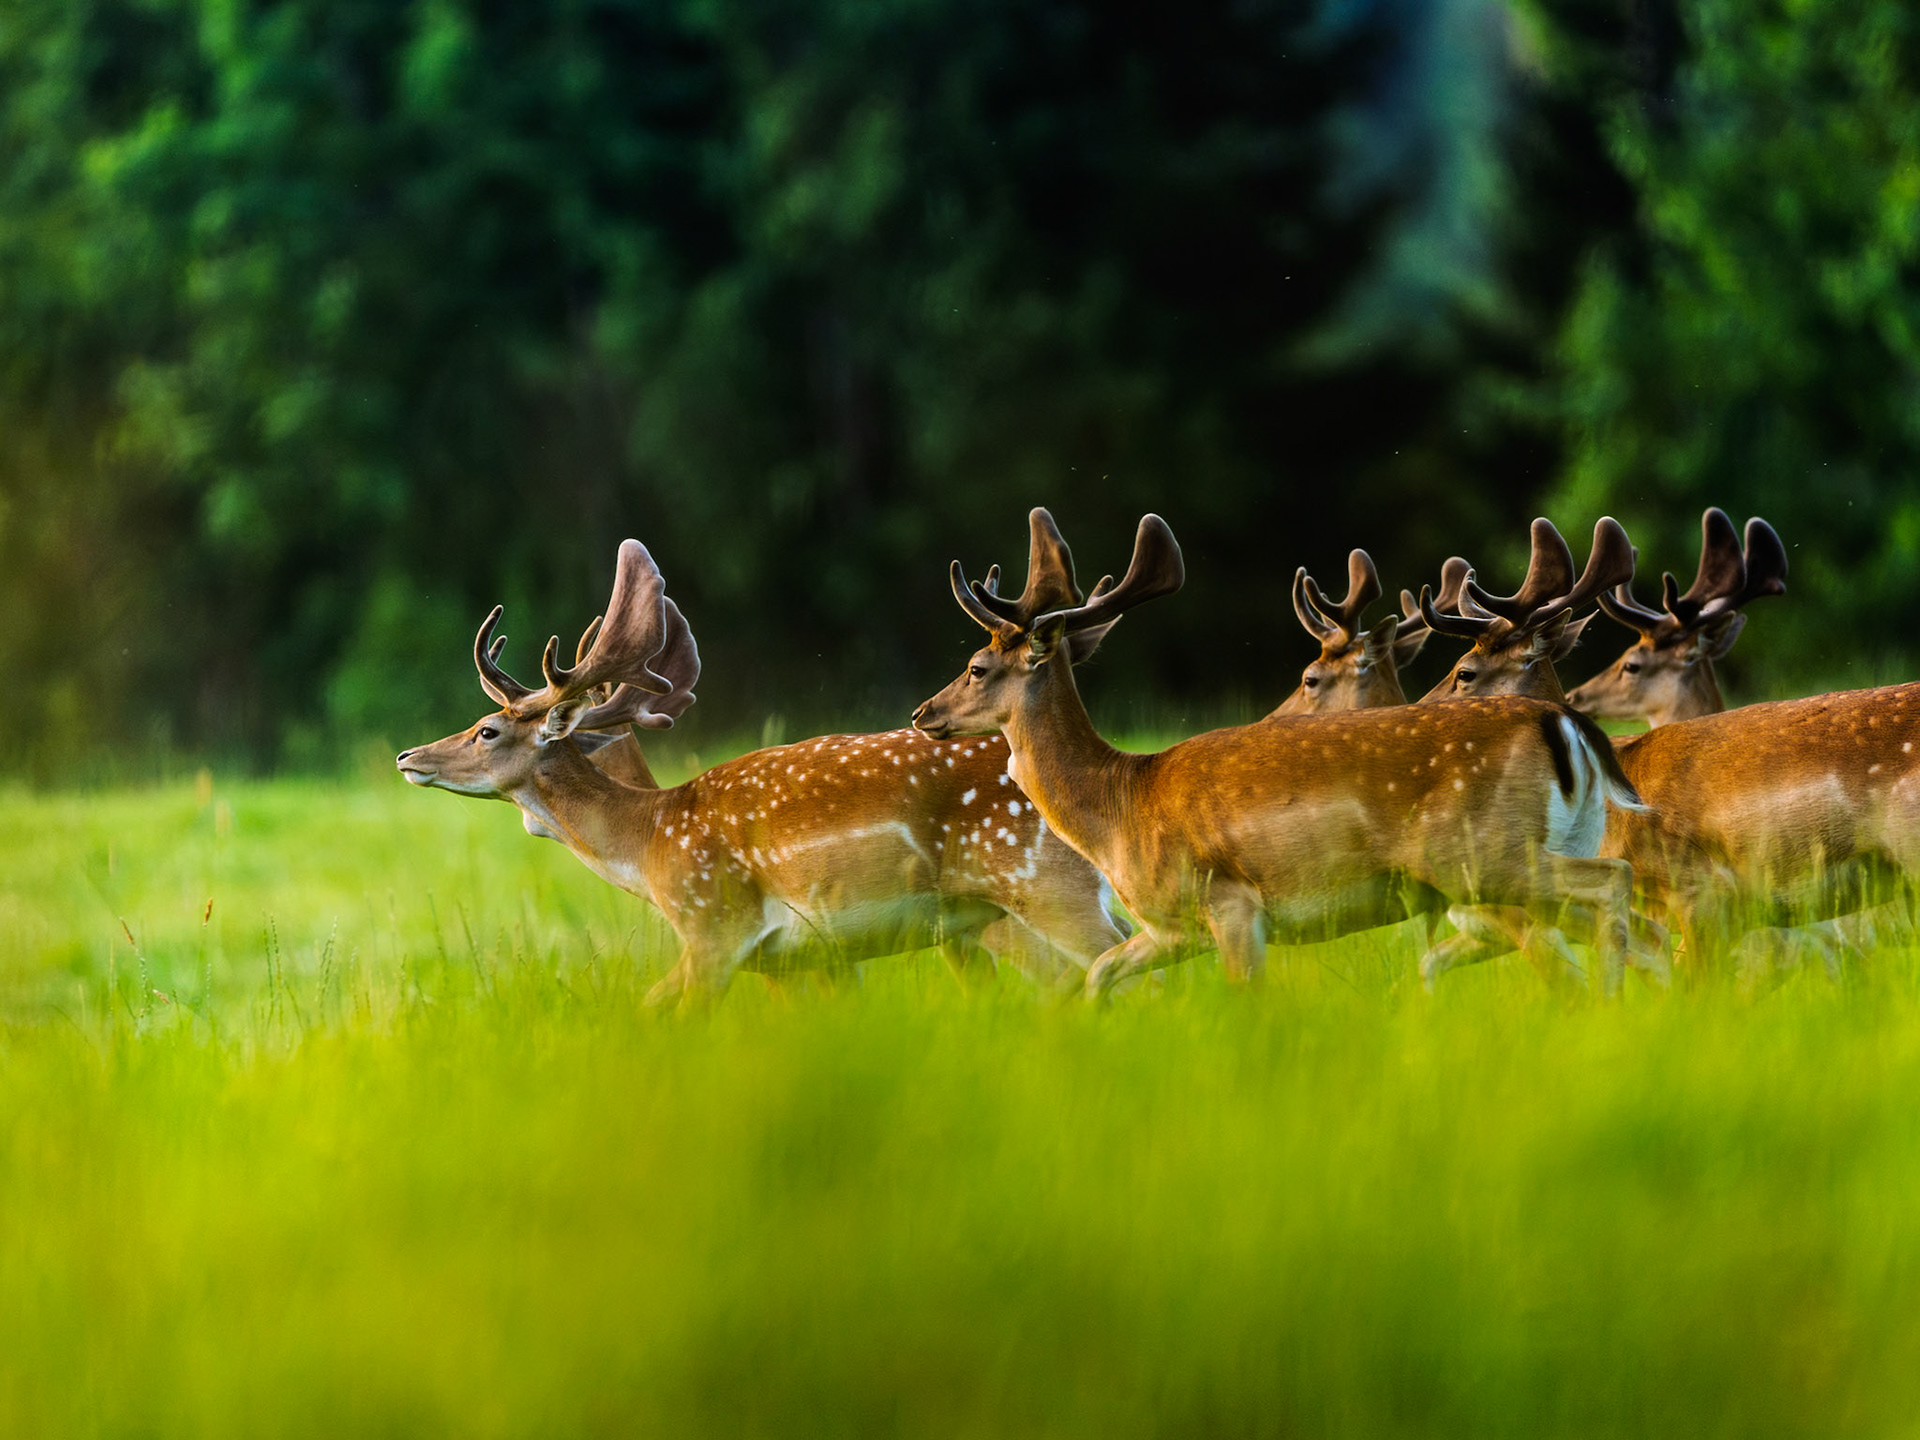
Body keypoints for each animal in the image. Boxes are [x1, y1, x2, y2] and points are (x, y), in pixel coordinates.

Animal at [396, 538, 1127, 1004]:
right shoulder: (810, 958)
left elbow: (656, 1009)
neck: (649, 841)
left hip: (1041, 884)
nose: (407, 757)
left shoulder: (715, 929)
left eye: (486, 730)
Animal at [911, 508, 1648, 998]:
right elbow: (1098, 975)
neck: (1119, 804)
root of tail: (1566, 724)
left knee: (1608, 892)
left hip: (1484, 857)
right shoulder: (1173, 927)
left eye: (976, 667)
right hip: (1541, 851)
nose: (924, 714)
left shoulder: (1232, 901)